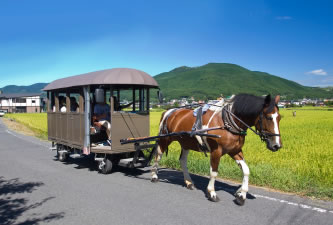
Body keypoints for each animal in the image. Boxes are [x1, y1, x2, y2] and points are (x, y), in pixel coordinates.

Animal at [150, 93, 280, 204]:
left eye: (279, 118)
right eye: (268, 117)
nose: (277, 145)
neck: (227, 122)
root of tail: (168, 111)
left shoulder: (235, 151)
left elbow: (246, 170)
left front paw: (241, 194)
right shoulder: (216, 151)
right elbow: (214, 172)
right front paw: (212, 192)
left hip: (186, 142)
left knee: (182, 161)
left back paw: (189, 182)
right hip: (164, 139)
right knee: (158, 156)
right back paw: (154, 176)